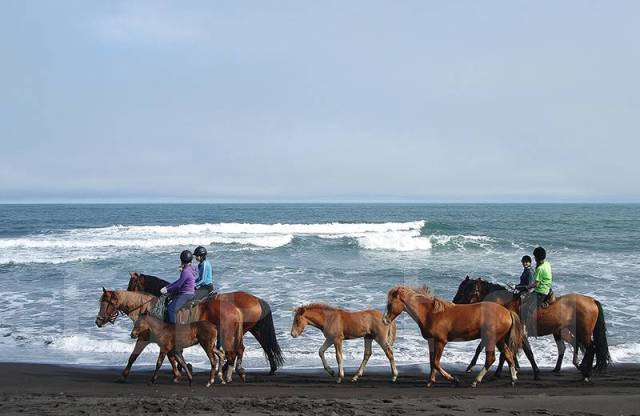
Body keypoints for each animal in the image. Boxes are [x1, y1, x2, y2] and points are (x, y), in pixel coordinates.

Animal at [95, 290, 245, 384]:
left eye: (107, 303)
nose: (98, 321)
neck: (149, 310)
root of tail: (235, 309)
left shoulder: (144, 339)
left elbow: (133, 356)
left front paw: (123, 376)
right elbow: (172, 357)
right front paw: (179, 374)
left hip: (226, 337)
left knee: (230, 354)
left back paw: (228, 375)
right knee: (227, 353)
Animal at [127, 270, 282, 374]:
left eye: (132, 283)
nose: (127, 293)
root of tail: (256, 299)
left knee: (244, 348)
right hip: (252, 329)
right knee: (262, 345)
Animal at [382, 286, 524, 386]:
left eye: (390, 304)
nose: (385, 321)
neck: (429, 313)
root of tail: (508, 312)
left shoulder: (441, 341)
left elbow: (436, 362)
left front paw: (453, 379)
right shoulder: (431, 341)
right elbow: (432, 362)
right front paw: (430, 381)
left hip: (491, 339)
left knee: (491, 359)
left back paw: (476, 381)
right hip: (499, 340)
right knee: (508, 355)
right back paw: (513, 379)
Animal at [452, 276, 612, 380]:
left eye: (464, 291)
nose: (453, 304)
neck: (505, 304)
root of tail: (592, 300)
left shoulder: (517, 333)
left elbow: (523, 353)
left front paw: (532, 371)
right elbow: (496, 350)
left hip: (582, 332)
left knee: (590, 347)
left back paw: (585, 372)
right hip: (565, 331)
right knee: (573, 346)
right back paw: (572, 367)